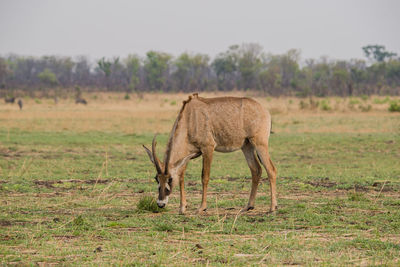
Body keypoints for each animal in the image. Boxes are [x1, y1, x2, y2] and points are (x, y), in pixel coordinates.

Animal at [144, 94, 278, 216]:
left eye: (170, 179)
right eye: (157, 178)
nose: (161, 203)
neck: (189, 118)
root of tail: (265, 111)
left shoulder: (208, 148)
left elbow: (205, 177)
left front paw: (201, 208)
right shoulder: (187, 156)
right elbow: (181, 177)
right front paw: (182, 208)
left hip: (259, 143)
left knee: (271, 169)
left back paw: (272, 207)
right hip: (247, 146)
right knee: (256, 170)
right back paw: (248, 206)